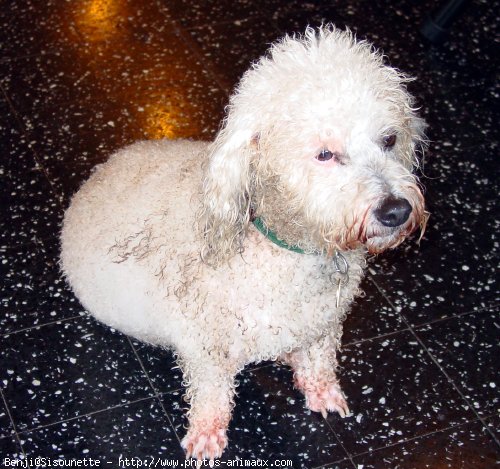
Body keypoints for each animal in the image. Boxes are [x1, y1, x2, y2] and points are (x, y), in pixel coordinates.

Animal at [59, 24, 426, 458]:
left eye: (389, 139)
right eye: (325, 154)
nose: (396, 210)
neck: (289, 249)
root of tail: (98, 171)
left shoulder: (324, 324)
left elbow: (319, 361)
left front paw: (321, 391)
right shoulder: (205, 348)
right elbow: (212, 395)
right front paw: (206, 435)